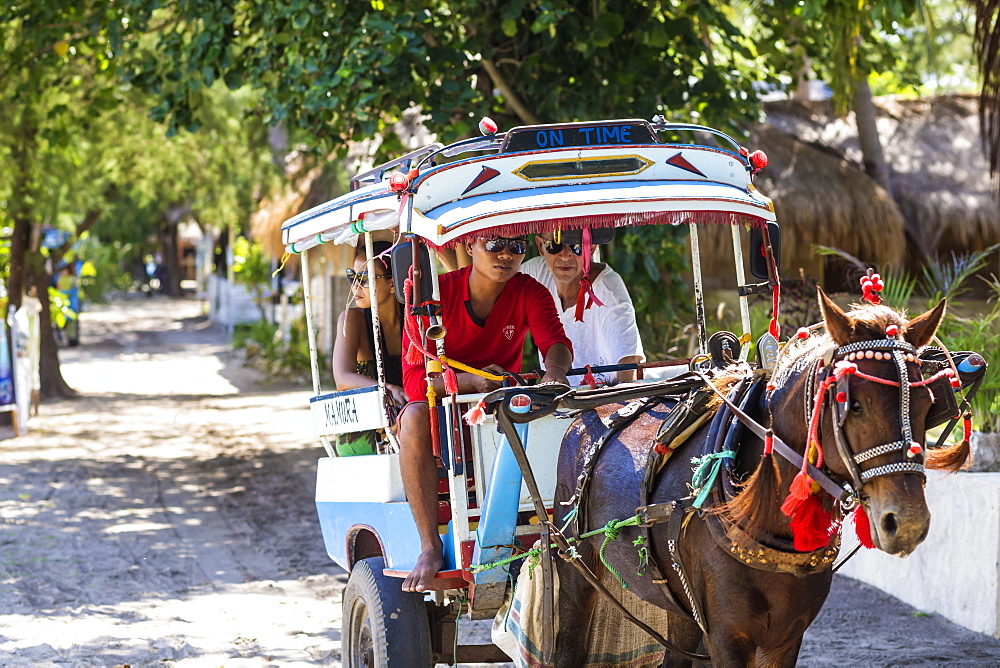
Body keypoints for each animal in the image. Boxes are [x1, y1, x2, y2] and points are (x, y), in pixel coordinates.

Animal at [556, 292, 968, 668]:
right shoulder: (727, 637)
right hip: (575, 568)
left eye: (929, 405)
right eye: (853, 404)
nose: (908, 523)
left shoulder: (786, 638)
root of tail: (592, 408)